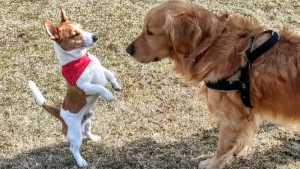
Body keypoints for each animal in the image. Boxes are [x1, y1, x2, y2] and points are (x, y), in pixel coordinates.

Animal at [27, 7, 120, 167]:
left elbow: (111, 74)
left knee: (87, 132)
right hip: (75, 135)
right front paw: (108, 95)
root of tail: (60, 113)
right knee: (74, 148)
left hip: (88, 120)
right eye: (74, 34)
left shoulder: (102, 70)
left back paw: (94, 138)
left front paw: (116, 85)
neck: (80, 60)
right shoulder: (84, 87)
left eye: (82, 27)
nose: (95, 37)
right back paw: (80, 161)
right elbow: (99, 87)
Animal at [125, 0, 300, 169]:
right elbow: (243, 137)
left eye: (150, 32)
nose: (128, 50)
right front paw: (237, 151)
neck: (210, 45)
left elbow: (222, 148)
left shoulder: (231, 119)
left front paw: (213, 163)